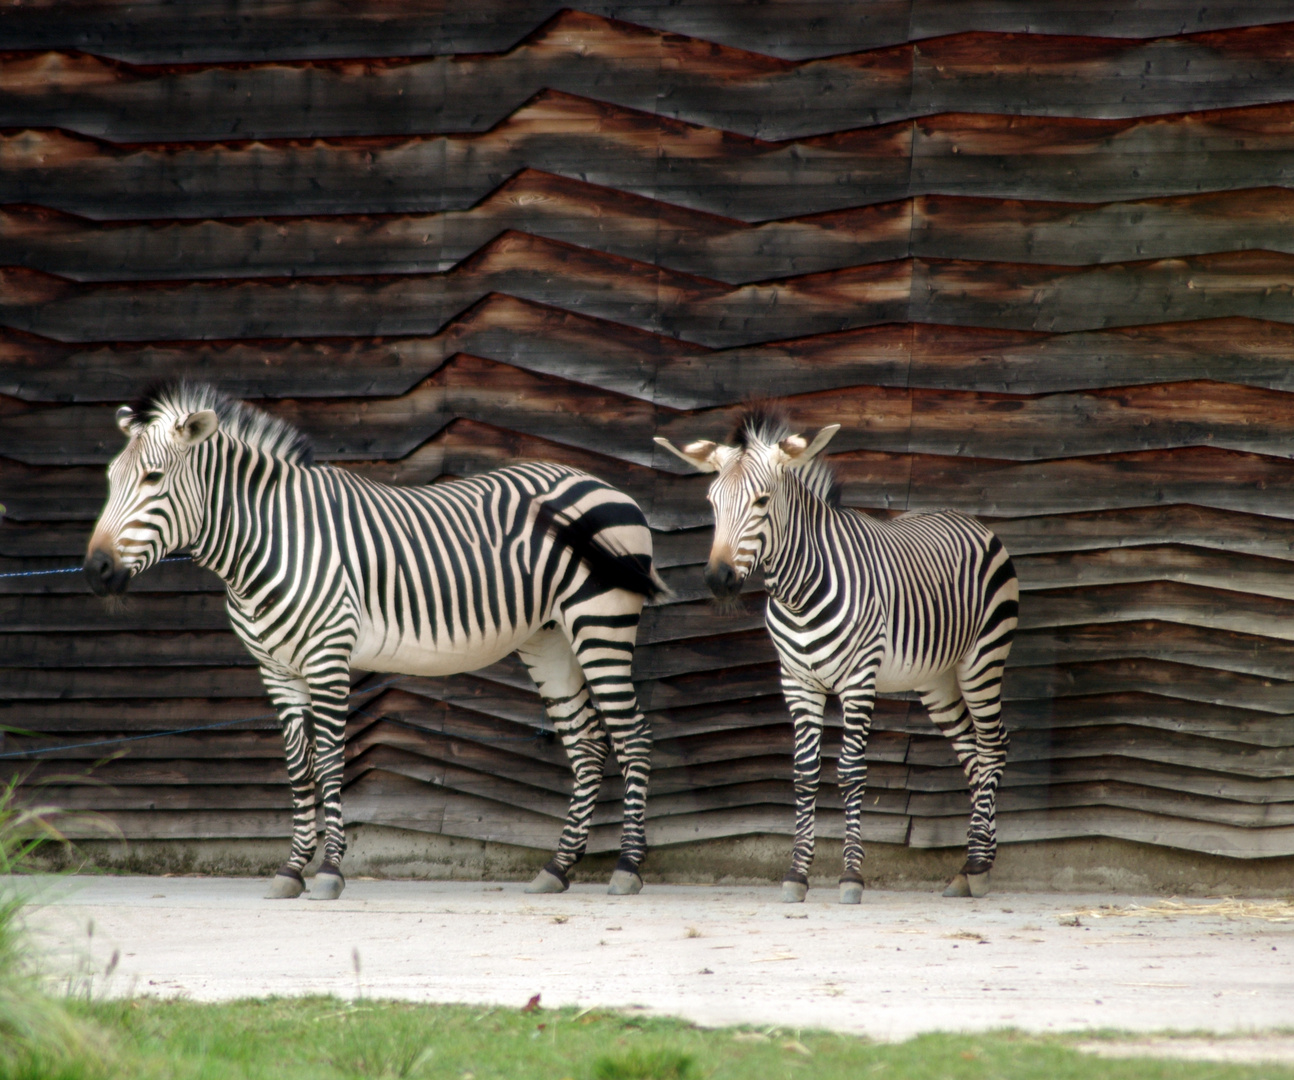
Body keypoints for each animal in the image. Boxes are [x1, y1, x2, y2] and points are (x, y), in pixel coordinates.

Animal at [84, 385, 667, 900]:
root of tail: (603, 483)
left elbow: (330, 761)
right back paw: (558, 868)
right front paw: (291, 870)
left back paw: (627, 869)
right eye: (110, 479)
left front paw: (329, 872)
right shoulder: (277, 671)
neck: (268, 543)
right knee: (587, 743)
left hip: (600, 622)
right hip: (549, 638)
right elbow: (299, 769)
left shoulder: (327, 657)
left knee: (634, 736)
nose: (94, 570)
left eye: (154, 478)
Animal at [662, 408, 1014, 910]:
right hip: (937, 678)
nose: (718, 579)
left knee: (993, 746)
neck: (799, 594)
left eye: (762, 502)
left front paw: (851, 876)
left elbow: (850, 772)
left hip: (982, 659)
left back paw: (981, 866)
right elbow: (805, 773)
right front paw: (797, 874)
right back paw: (969, 867)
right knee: (972, 754)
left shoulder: (858, 681)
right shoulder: (797, 682)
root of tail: (969, 519)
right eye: (712, 502)